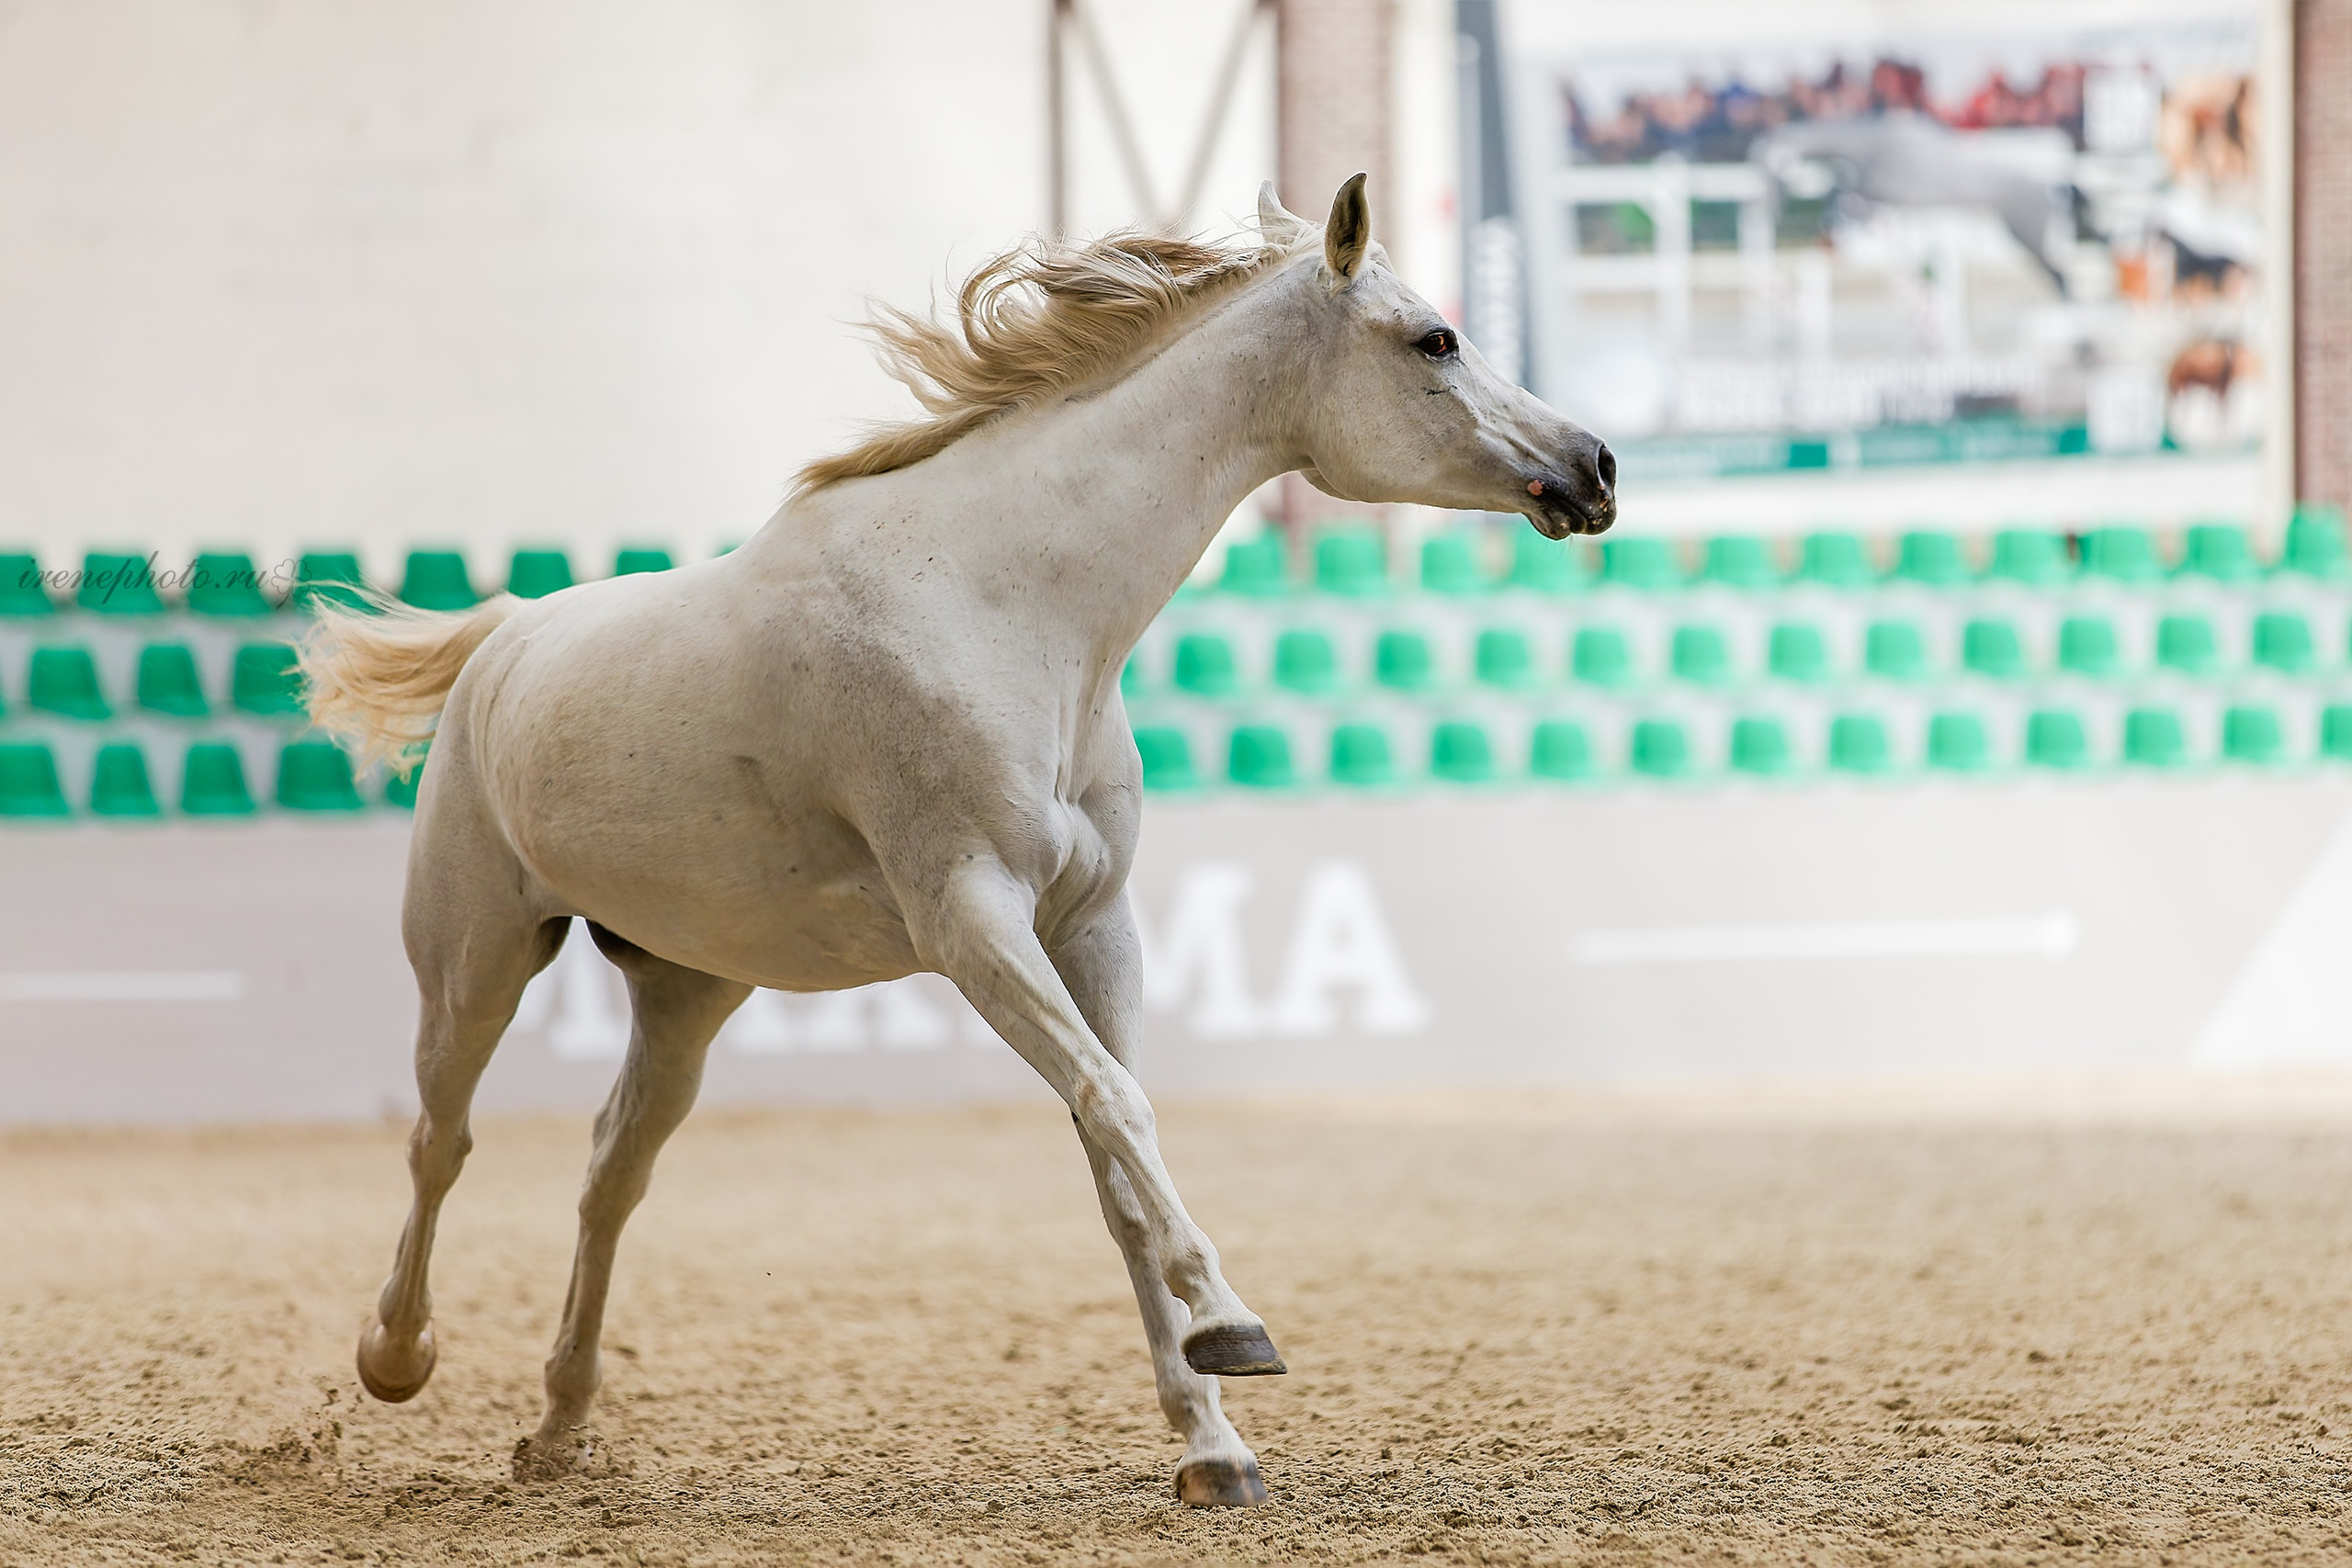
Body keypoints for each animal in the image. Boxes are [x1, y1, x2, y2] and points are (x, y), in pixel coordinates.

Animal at [299, 174, 1615, 1509]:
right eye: (1434, 339)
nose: (1595, 465)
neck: (1002, 603)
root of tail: (506, 634)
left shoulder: (1092, 928)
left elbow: (1116, 1152)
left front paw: (1211, 1443)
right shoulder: (971, 918)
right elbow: (1116, 1106)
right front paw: (1233, 1326)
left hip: (688, 989)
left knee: (612, 1170)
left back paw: (561, 1427)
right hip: (476, 962)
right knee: (440, 1139)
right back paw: (396, 1354)